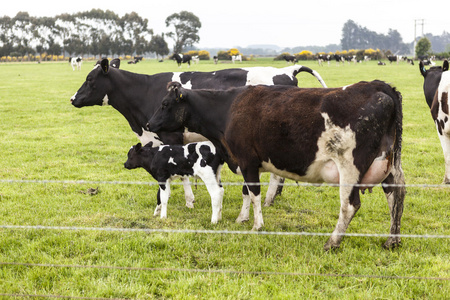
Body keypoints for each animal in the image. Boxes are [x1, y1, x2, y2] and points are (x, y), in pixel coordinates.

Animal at [148, 80, 404, 251]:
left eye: (165, 103)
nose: (149, 124)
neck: (228, 109)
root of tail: (377, 86)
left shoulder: (247, 160)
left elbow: (254, 193)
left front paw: (257, 225)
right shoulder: (247, 163)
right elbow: (246, 193)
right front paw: (242, 219)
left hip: (349, 166)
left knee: (350, 205)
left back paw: (331, 242)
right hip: (391, 166)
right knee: (396, 196)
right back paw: (392, 240)